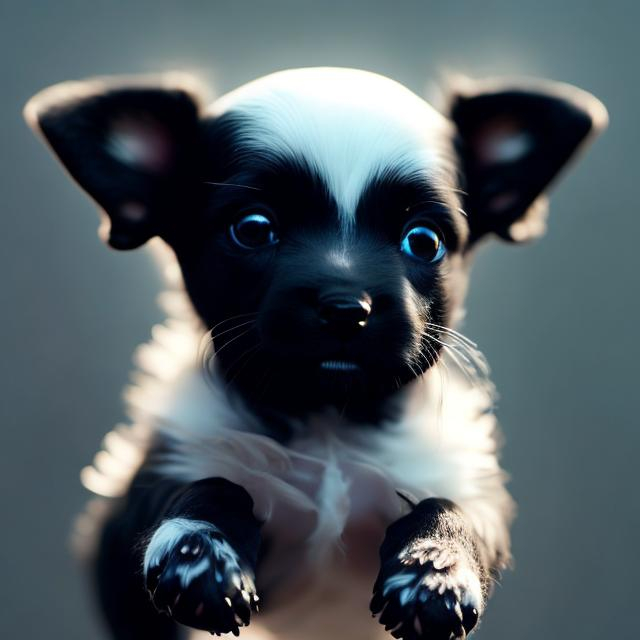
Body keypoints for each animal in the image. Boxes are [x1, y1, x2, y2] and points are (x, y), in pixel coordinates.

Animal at [23, 69, 604, 640]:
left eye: (423, 240)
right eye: (253, 228)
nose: (346, 307)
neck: (329, 427)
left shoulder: (456, 476)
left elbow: (450, 505)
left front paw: (436, 566)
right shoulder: (140, 506)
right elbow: (210, 484)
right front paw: (200, 550)